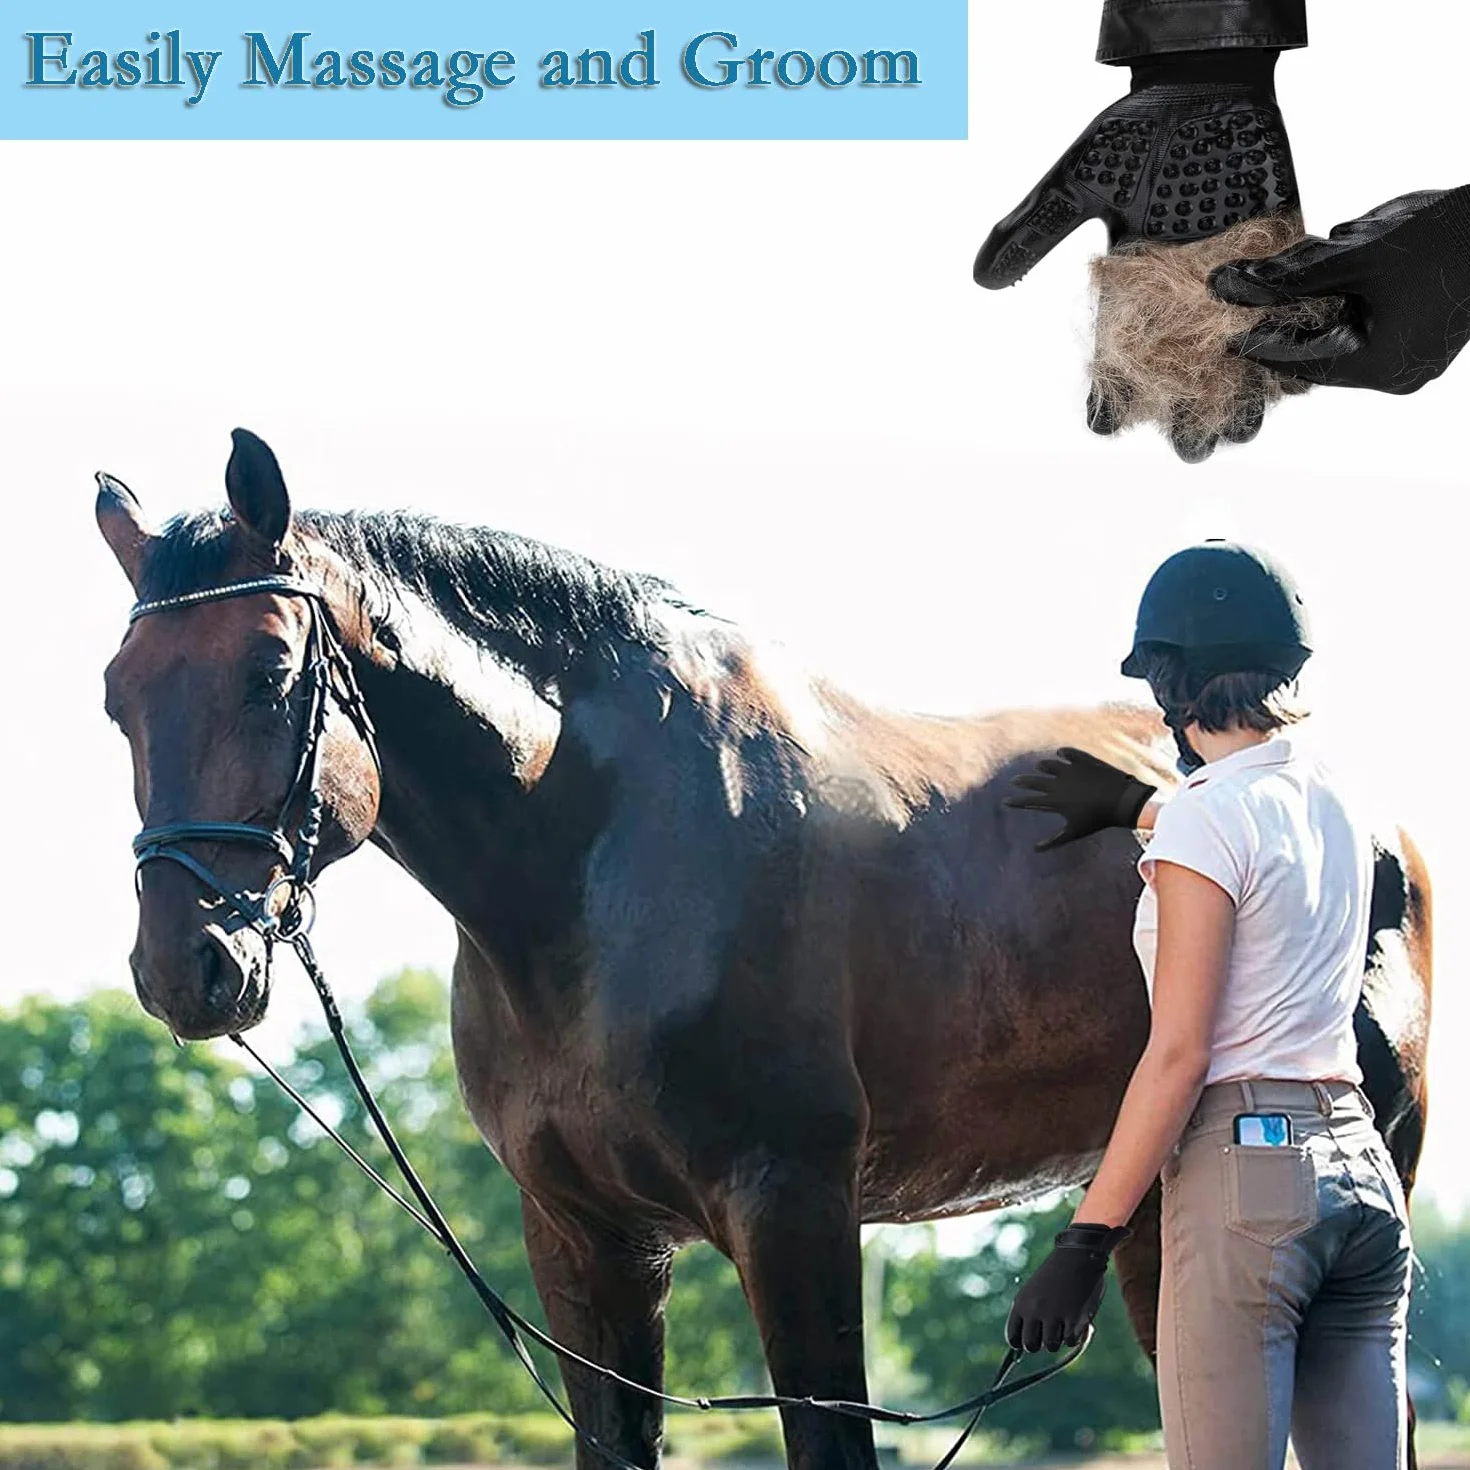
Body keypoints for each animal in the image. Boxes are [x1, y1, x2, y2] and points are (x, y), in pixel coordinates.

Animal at [98, 428, 1433, 1470]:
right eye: (118, 695)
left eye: (272, 672)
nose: (185, 966)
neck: (601, 853)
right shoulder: (584, 1238)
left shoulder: (793, 1211)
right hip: (1153, 1209)